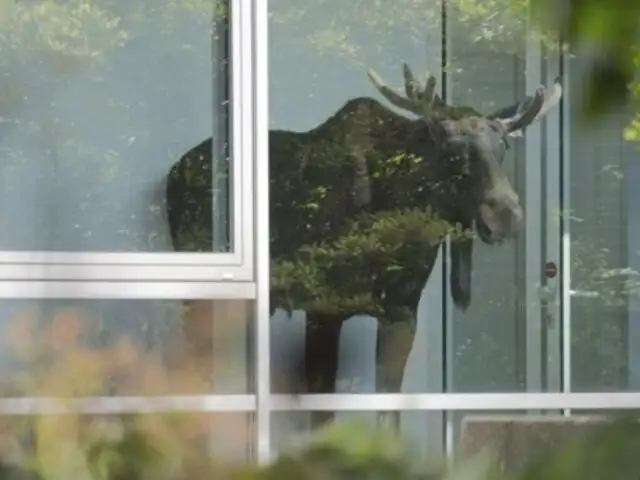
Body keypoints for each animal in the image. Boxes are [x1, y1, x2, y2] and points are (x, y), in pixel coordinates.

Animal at [165, 62, 560, 428]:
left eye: (503, 146)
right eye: (451, 149)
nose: (506, 215)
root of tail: (174, 172)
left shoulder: (402, 312)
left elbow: (388, 413)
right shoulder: (323, 308)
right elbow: (321, 416)